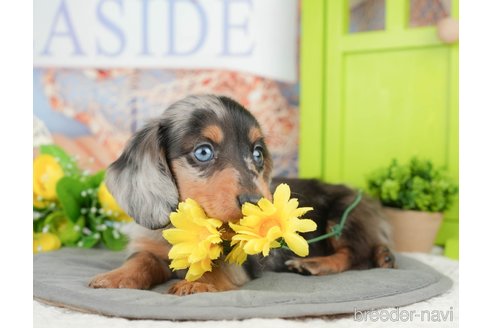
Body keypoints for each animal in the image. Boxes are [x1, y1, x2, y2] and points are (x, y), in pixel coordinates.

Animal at [89, 94, 396, 294]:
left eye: (258, 153)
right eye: (203, 152)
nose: (257, 205)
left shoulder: (242, 261)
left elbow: (217, 267)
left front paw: (196, 282)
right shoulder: (150, 249)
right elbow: (140, 261)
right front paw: (115, 277)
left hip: (344, 215)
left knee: (355, 256)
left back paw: (315, 264)